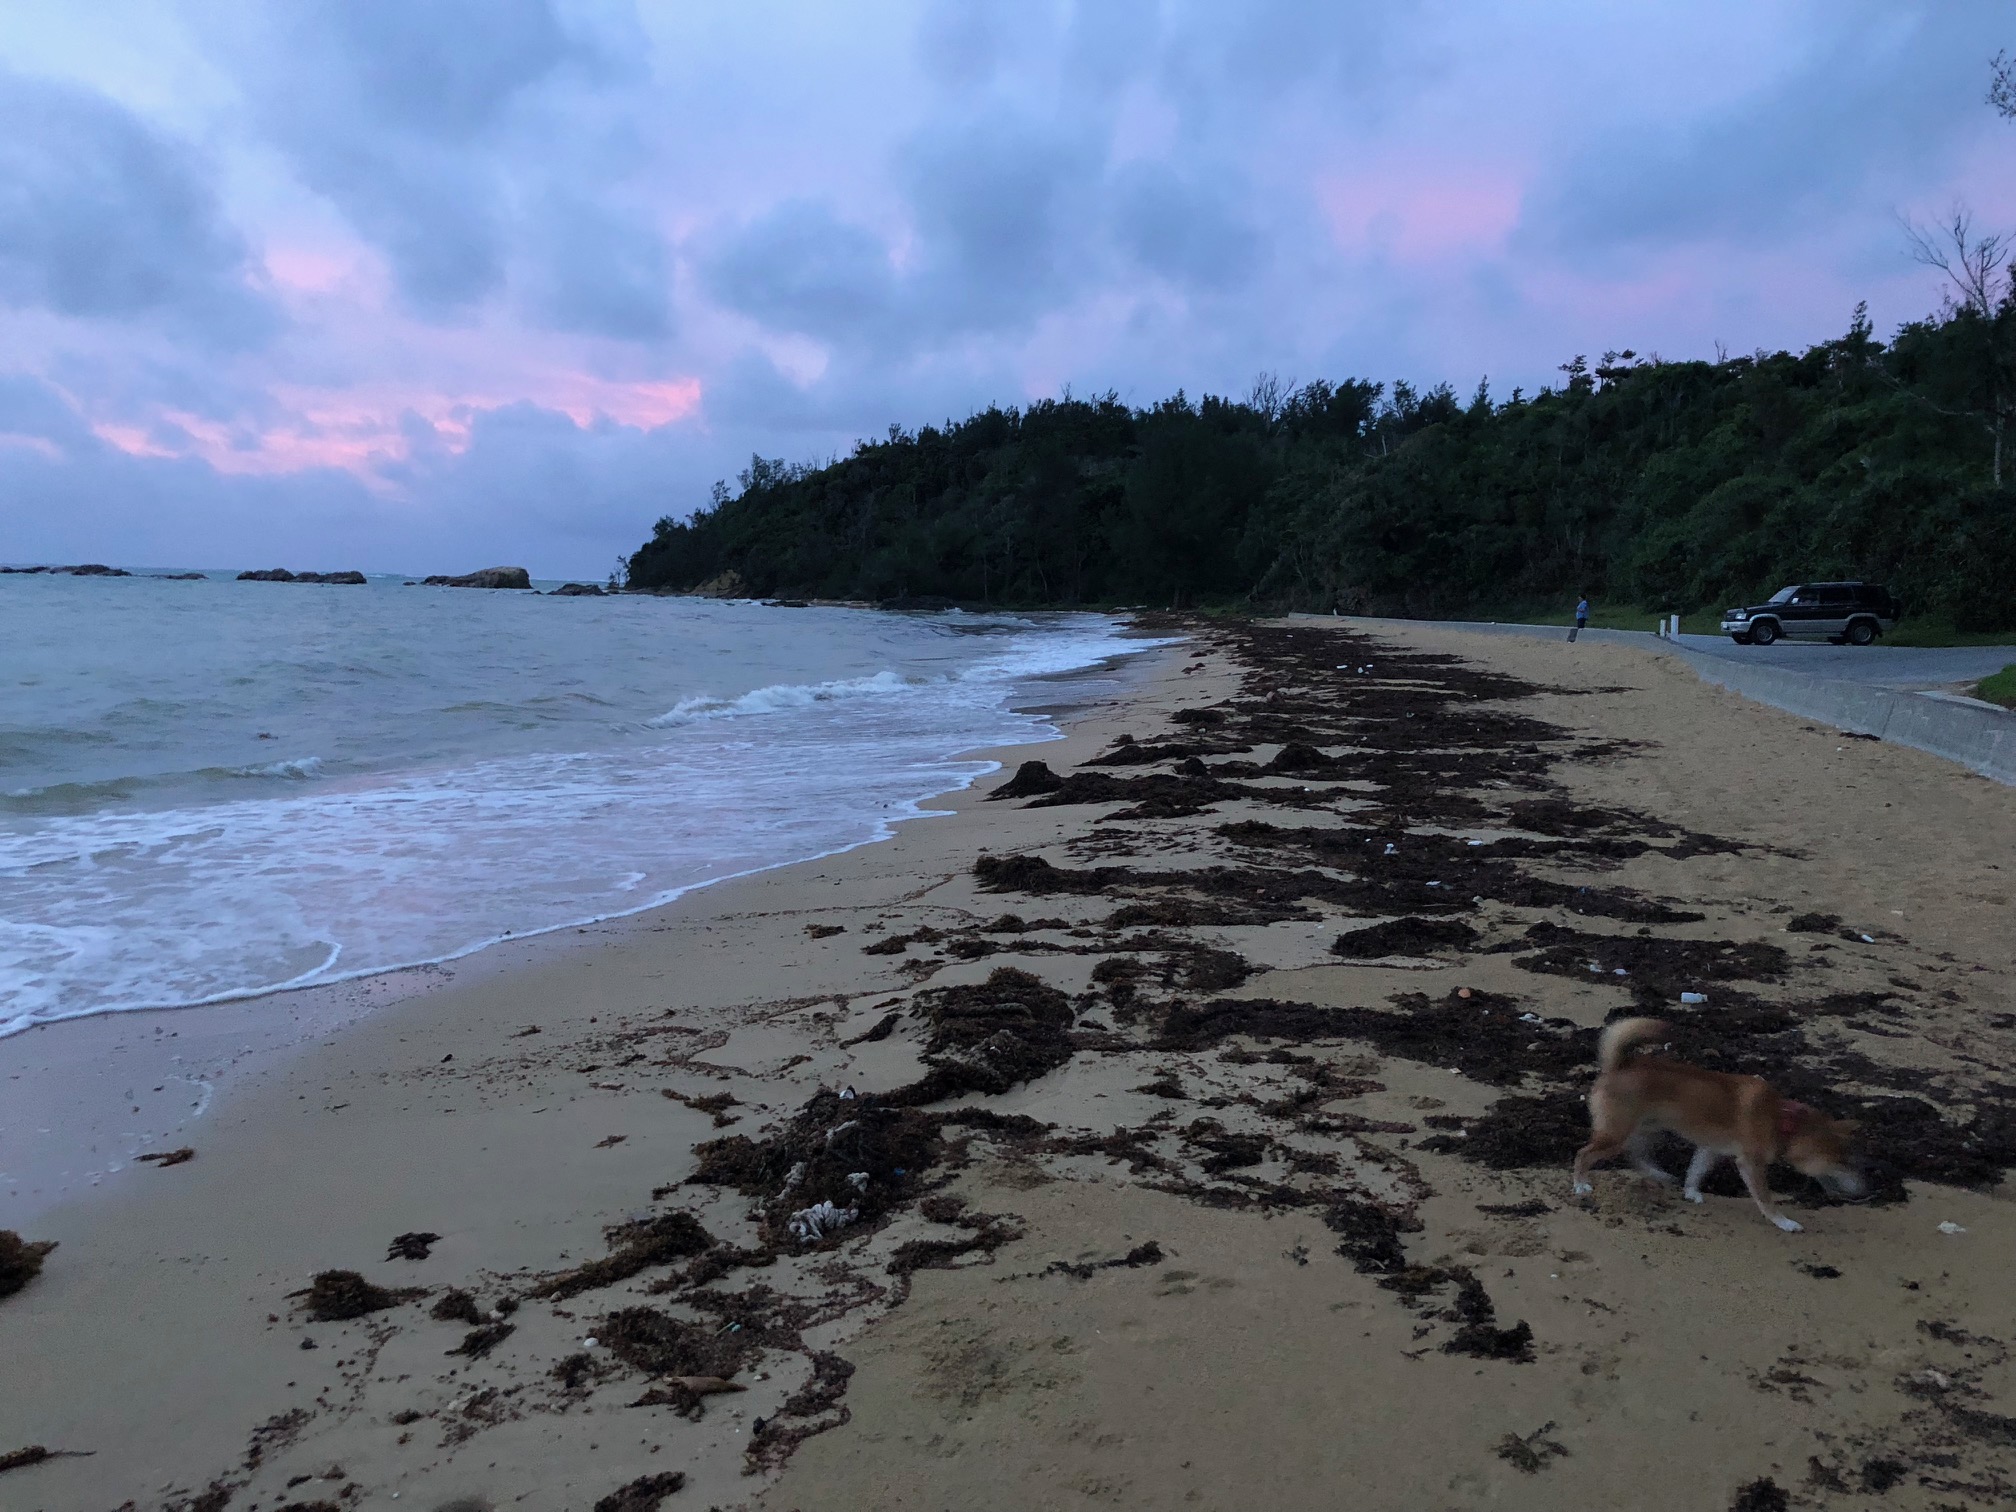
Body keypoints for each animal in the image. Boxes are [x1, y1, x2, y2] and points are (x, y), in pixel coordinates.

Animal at [1564, 1020, 1862, 1233]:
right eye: (1841, 1162)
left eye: (1850, 1160)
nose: (1864, 1188)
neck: (1781, 1121)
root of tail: (1619, 1065)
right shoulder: (1751, 1164)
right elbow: (1766, 1199)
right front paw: (1784, 1222)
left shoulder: (1710, 1149)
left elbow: (1695, 1172)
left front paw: (1690, 1192)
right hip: (1617, 1134)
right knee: (1584, 1154)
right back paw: (1581, 1184)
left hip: (1646, 1128)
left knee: (1635, 1154)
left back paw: (1658, 1174)